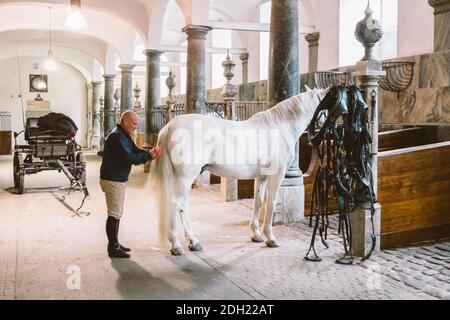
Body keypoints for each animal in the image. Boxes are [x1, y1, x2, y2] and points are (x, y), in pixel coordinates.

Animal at [149, 87, 328, 255]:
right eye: (326, 106)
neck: (279, 128)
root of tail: (169, 127)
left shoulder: (262, 177)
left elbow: (258, 202)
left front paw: (256, 234)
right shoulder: (276, 176)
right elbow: (271, 203)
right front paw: (270, 237)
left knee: (182, 205)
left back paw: (193, 242)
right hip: (185, 177)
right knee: (175, 203)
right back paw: (177, 246)